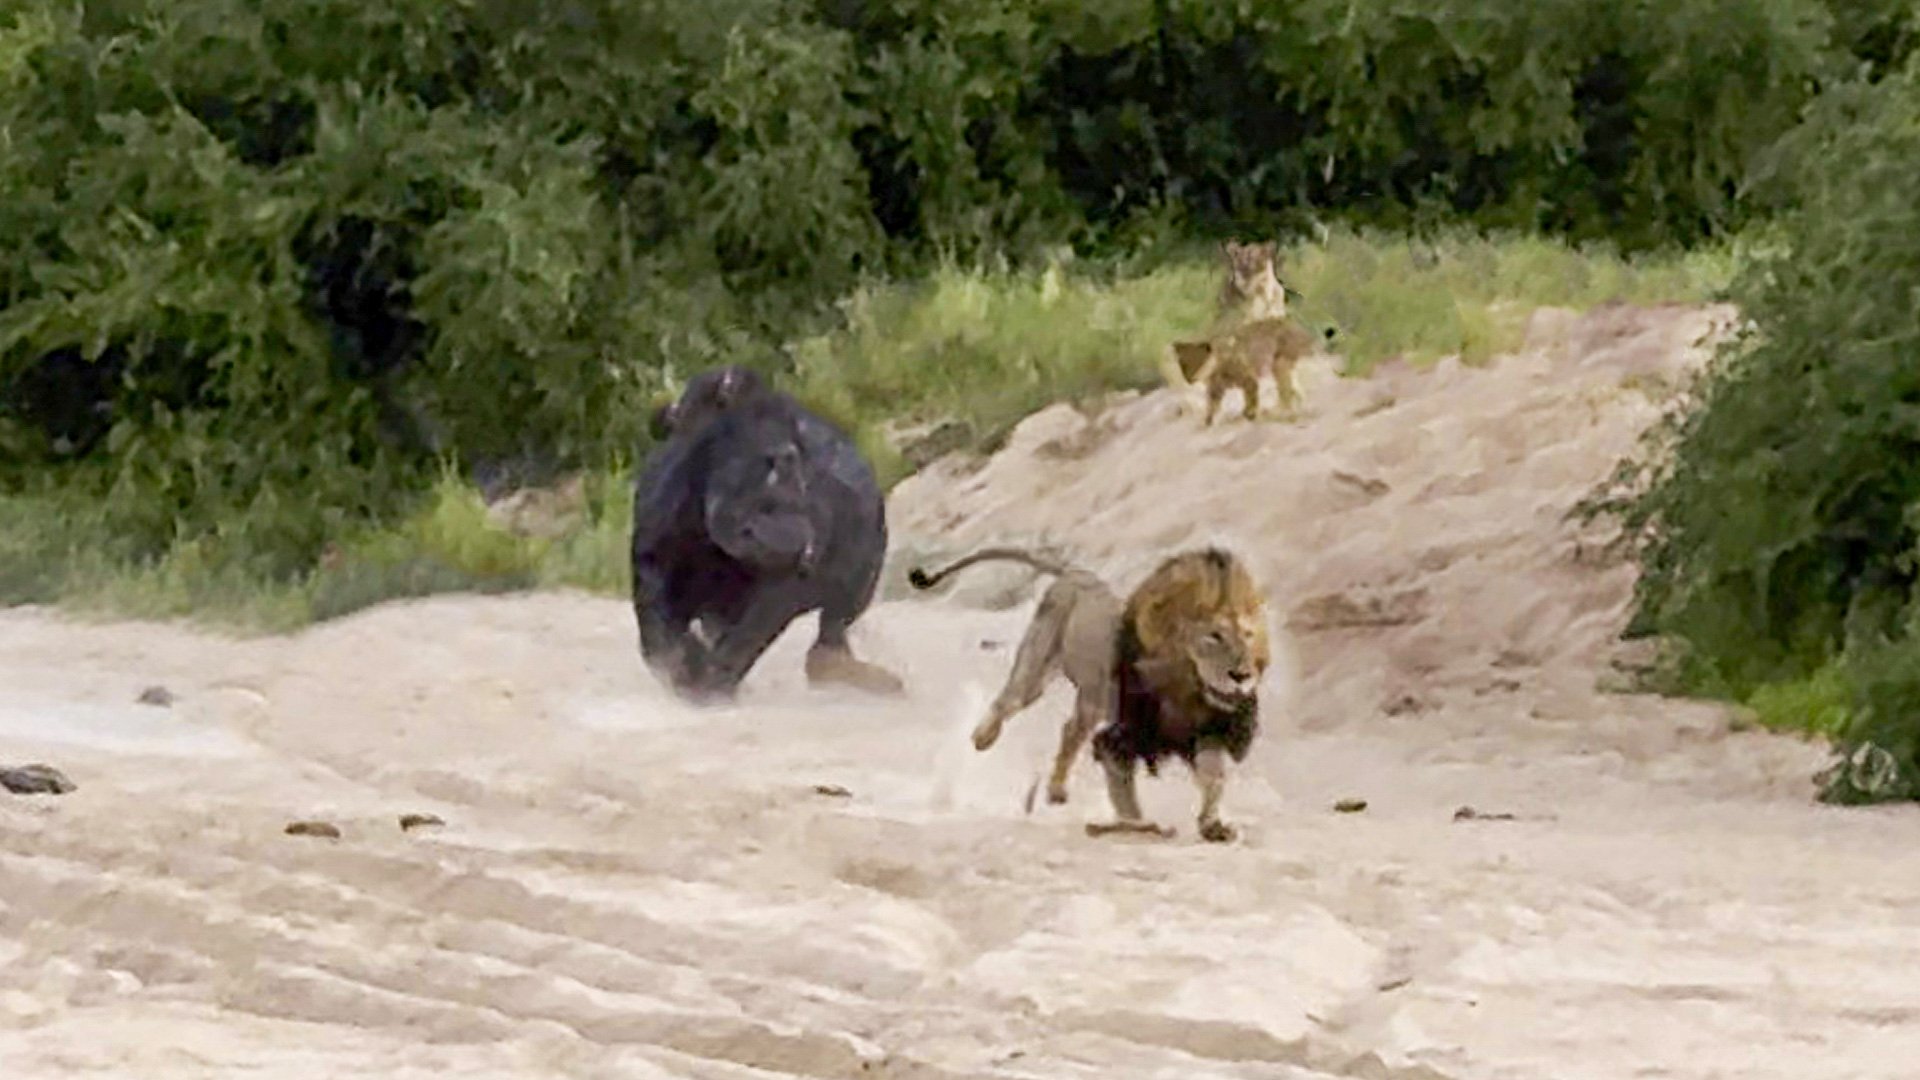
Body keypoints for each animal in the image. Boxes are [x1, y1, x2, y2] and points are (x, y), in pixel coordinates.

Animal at [909, 545, 1272, 843]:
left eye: (1248, 635)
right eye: (1214, 637)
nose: (1241, 675)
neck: (1186, 689)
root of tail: (1077, 574)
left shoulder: (1203, 735)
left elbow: (1214, 780)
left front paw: (1213, 826)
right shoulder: (1121, 737)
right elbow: (1124, 794)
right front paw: (1137, 825)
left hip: (1092, 697)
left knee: (1070, 729)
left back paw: (1056, 790)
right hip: (1038, 667)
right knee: (1008, 701)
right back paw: (982, 738)